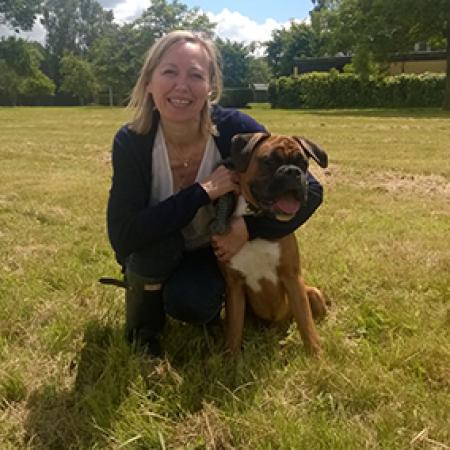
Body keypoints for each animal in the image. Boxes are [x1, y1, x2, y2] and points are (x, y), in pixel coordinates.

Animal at [217, 132, 326, 356]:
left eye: (304, 164)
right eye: (269, 161)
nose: (293, 172)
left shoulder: (293, 279)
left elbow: (307, 325)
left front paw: (317, 357)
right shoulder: (234, 287)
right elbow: (234, 330)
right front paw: (230, 358)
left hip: (313, 292)